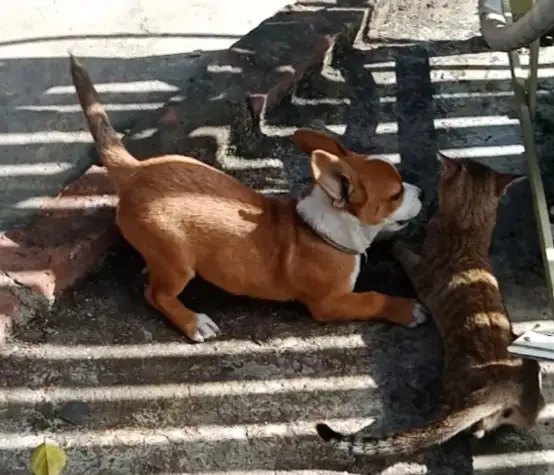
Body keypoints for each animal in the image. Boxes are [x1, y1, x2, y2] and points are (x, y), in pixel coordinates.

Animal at [69, 56, 422, 342]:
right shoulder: (330, 303)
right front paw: (408, 310)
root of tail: (135, 170)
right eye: (396, 194)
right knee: (155, 295)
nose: (420, 192)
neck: (325, 229)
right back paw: (193, 322)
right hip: (178, 263)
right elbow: (374, 298)